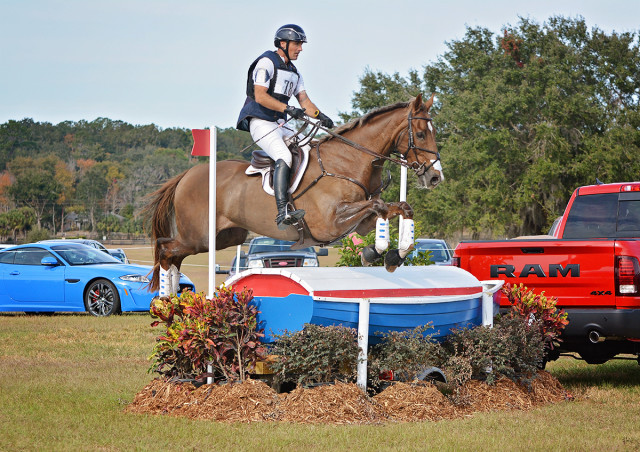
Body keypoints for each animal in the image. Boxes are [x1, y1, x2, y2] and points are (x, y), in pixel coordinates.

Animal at [145, 95, 442, 294]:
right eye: (420, 134)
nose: (435, 177)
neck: (348, 161)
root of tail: (187, 175)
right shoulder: (331, 223)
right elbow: (380, 206)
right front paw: (374, 253)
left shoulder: (362, 220)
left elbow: (399, 208)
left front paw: (393, 256)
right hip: (199, 237)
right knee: (166, 249)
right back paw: (165, 303)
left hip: (223, 237)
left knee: (174, 256)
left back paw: (173, 304)